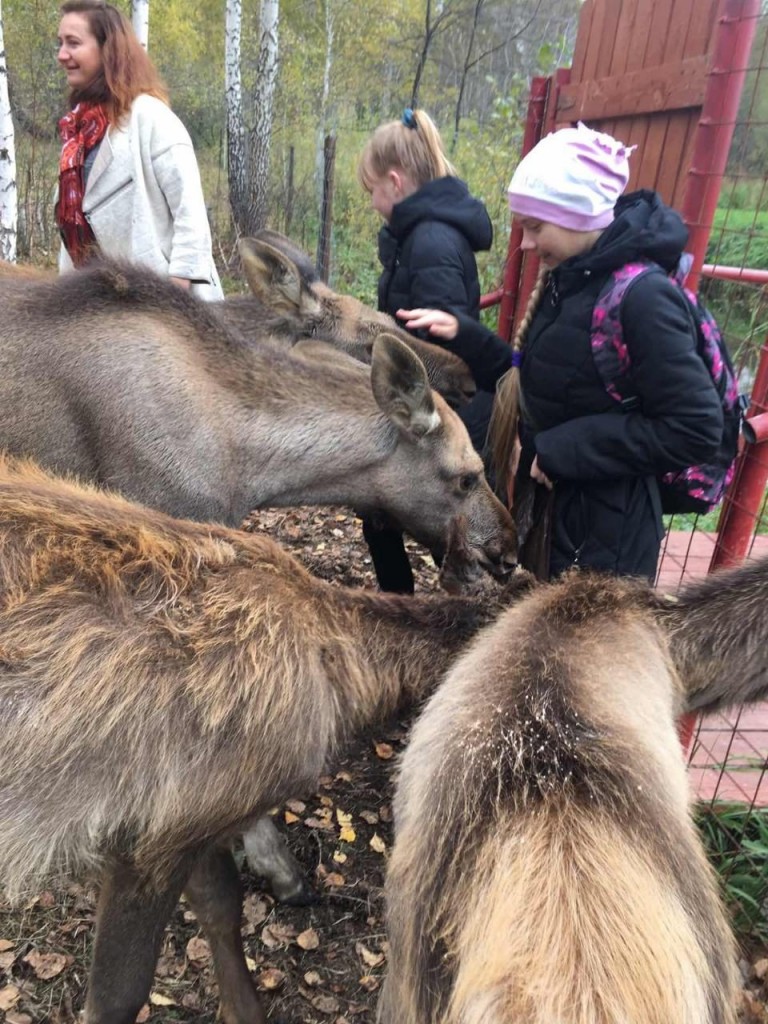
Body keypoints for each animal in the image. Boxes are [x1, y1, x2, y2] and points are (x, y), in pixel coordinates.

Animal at [0, 456, 532, 1024]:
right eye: (468, 480)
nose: (509, 551)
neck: (342, 678)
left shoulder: (190, 817)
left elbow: (221, 906)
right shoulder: (145, 835)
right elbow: (117, 995)